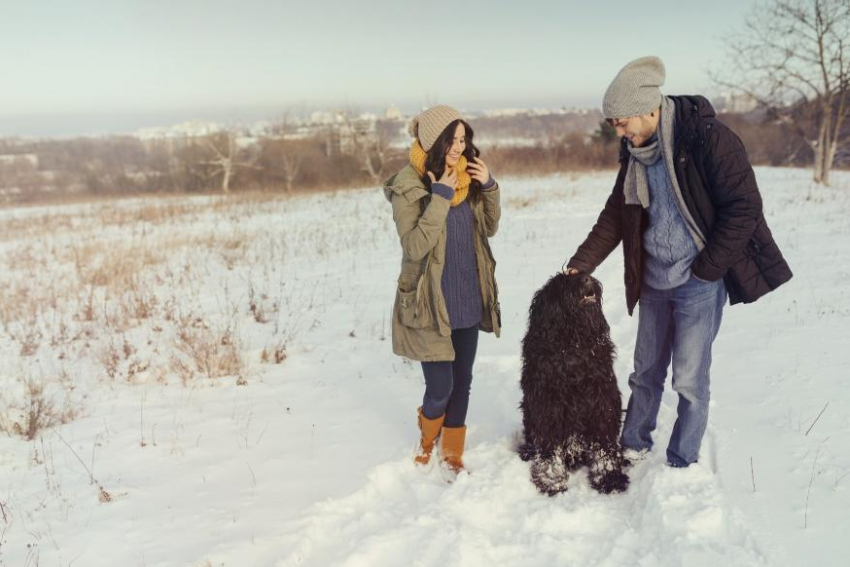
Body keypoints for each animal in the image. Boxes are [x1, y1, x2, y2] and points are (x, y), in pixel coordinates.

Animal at [516, 272, 628, 494]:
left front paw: (610, 477)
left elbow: (604, 443)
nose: (586, 277)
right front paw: (551, 480)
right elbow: (550, 447)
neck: (573, 345)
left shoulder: (603, 400)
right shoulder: (548, 406)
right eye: (562, 283)